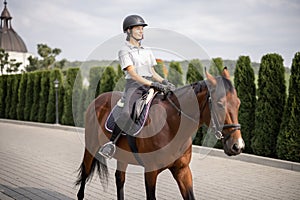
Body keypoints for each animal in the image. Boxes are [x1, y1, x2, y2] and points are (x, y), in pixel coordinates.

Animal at [75, 68, 244, 199]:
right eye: (220, 104)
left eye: (238, 103)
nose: (237, 146)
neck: (171, 126)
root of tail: (98, 99)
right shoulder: (150, 172)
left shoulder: (183, 170)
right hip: (91, 148)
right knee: (85, 174)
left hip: (123, 156)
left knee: (119, 179)